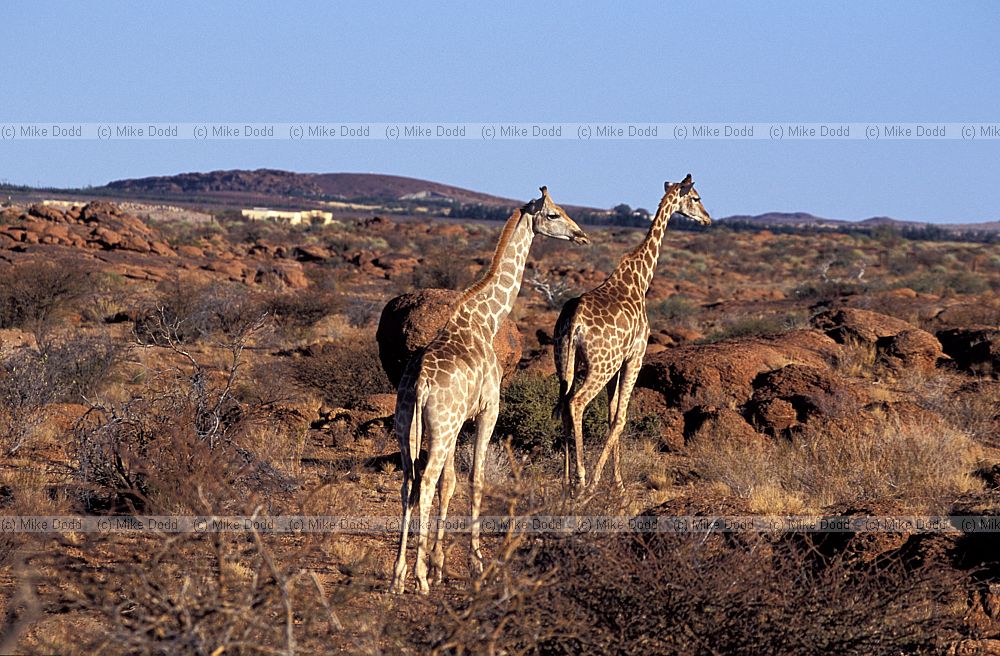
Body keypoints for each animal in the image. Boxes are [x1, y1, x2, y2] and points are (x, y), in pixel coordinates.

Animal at [384, 186, 584, 596]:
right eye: (554, 214)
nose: (580, 234)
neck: (485, 319)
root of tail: (421, 385)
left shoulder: (458, 421)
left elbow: (450, 483)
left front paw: (440, 563)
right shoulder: (487, 410)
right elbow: (475, 478)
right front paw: (474, 564)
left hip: (408, 426)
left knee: (408, 484)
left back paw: (398, 576)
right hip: (439, 428)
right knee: (423, 484)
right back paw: (419, 579)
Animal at [556, 176, 712, 492]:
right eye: (696, 198)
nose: (708, 219)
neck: (641, 279)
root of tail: (574, 320)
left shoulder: (619, 363)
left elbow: (610, 415)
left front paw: (616, 479)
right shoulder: (635, 356)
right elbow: (620, 418)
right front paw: (603, 481)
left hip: (565, 362)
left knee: (564, 404)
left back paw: (566, 480)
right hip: (600, 365)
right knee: (576, 403)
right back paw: (581, 478)